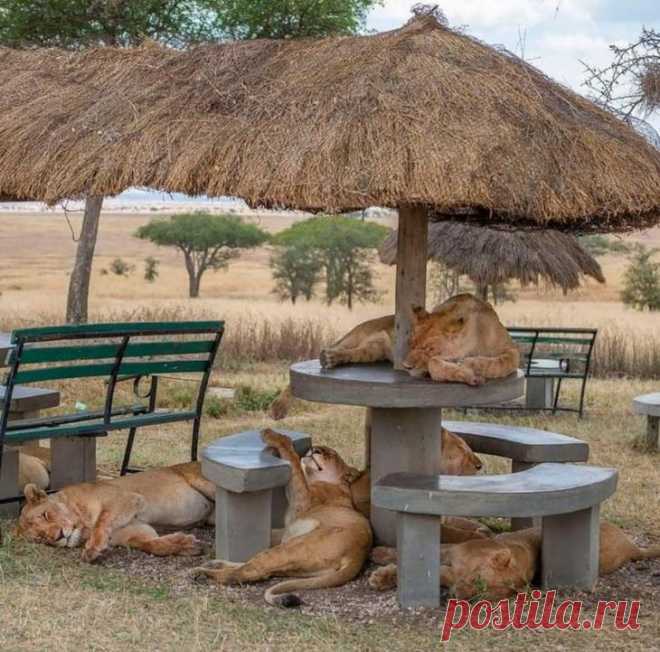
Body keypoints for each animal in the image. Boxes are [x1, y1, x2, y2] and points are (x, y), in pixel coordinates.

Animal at [17, 464, 214, 560]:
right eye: (41, 538)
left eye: (45, 515)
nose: (58, 536)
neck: (83, 527)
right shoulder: (138, 531)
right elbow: (152, 545)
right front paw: (187, 544)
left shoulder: (126, 498)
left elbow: (102, 521)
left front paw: (93, 548)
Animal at [270, 294, 520, 420]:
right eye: (410, 342)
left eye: (428, 347)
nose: (406, 366)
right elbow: (435, 366)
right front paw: (467, 373)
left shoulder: (513, 349)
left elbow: (502, 361)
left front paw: (475, 364)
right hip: (359, 335)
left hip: (373, 349)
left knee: (357, 354)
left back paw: (331, 359)